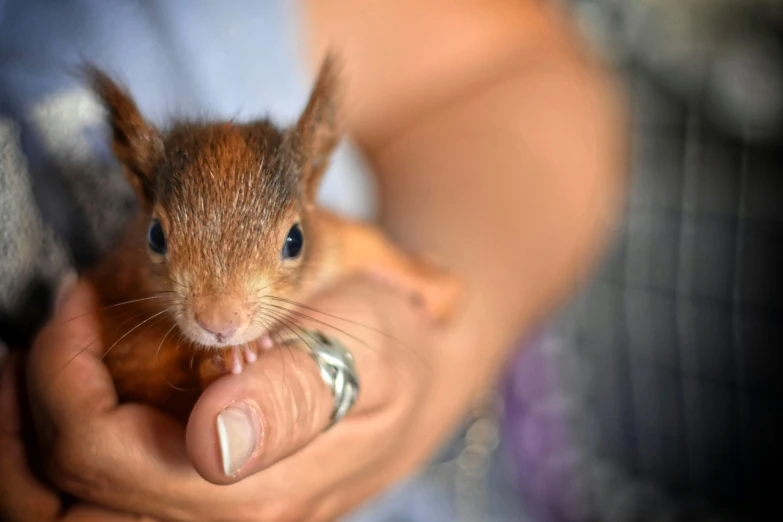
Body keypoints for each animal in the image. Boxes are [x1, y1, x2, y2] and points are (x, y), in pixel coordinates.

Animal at [82, 54, 462, 418]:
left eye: (295, 241)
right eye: (155, 237)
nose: (220, 323)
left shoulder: (332, 242)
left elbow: (369, 245)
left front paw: (434, 284)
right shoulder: (123, 316)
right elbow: (145, 379)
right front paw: (223, 362)